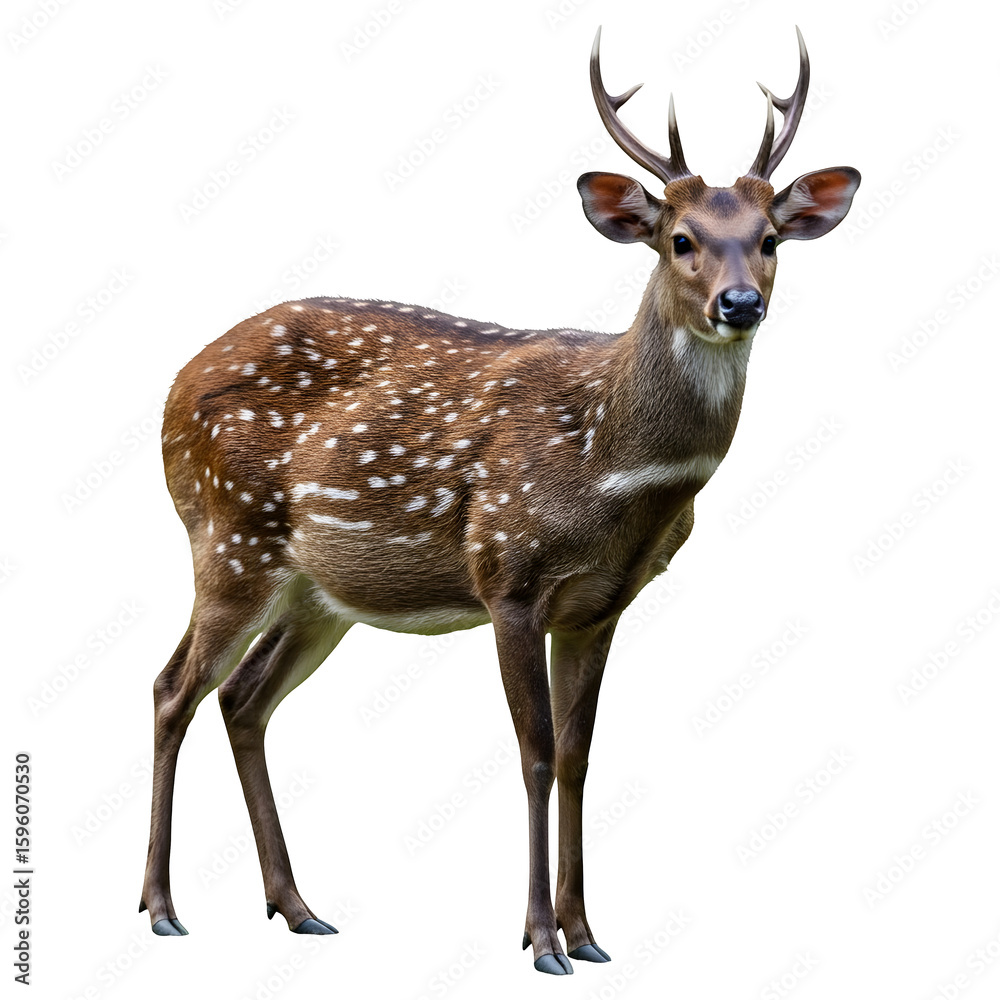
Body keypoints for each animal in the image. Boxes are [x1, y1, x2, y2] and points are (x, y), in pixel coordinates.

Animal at [140, 26, 859, 975]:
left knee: (242, 699)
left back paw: (298, 908)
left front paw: (588, 934)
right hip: (227, 536)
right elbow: (535, 753)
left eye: (772, 237)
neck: (610, 468)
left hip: (317, 592)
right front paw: (542, 940)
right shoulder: (508, 572)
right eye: (679, 239)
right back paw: (161, 908)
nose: (739, 304)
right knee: (171, 689)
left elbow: (581, 754)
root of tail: (173, 387)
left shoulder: (601, 604)